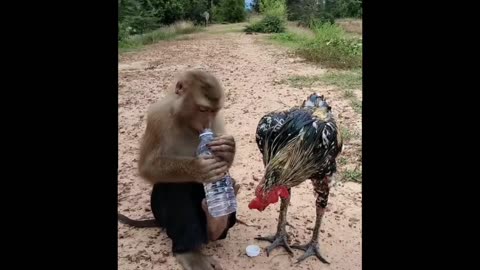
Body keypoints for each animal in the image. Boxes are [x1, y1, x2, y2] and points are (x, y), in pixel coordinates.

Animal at [119, 70, 237, 270]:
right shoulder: (157, 116)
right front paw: (198, 168)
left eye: (213, 111)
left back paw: (216, 225)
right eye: (203, 109)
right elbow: (147, 167)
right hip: (161, 216)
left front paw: (227, 149)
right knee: (176, 186)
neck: (185, 121)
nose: (207, 122)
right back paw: (189, 251)